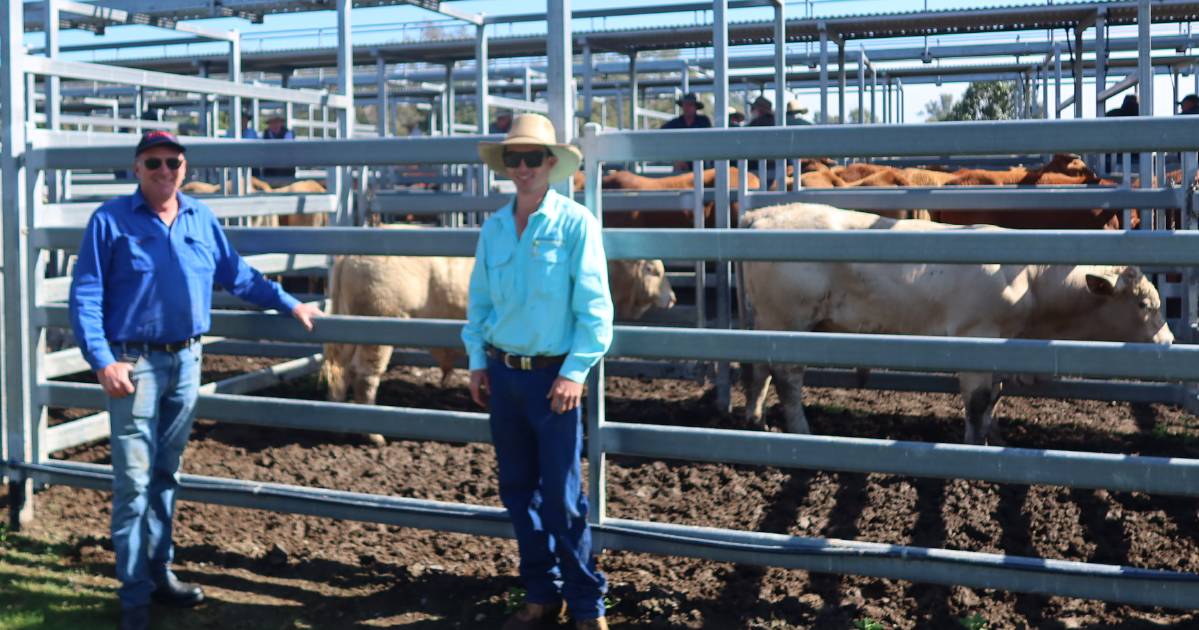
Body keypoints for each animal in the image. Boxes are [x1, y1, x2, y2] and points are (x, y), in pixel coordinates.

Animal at [738, 201, 1170, 441]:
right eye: (1143, 304)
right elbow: (978, 402)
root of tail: (763, 214)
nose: (1167, 342)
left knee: (758, 369)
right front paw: (976, 442)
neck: (1030, 279)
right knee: (787, 377)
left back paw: (756, 420)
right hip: (789, 320)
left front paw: (995, 435)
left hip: (768, 321)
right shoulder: (975, 337)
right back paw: (800, 429)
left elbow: (994, 396)